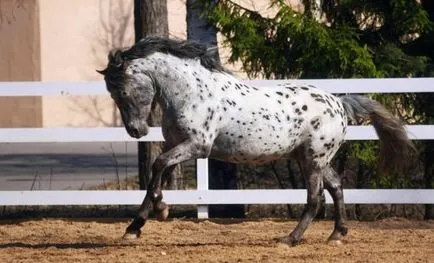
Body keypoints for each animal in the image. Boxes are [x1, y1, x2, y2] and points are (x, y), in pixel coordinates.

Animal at [98, 36, 414, 246]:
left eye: (123, 91)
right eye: (111, 93)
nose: (136, 131)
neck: (191, 92)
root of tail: (339, 102)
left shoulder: (198, 146)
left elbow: (158, 166)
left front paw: (149, 217)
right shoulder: (176, 145)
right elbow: (158, 173)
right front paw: (142, 221)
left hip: (313, 159)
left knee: (315, 198)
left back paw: (290, 238)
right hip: (310, 157)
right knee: (336, 186)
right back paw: (336, 235)